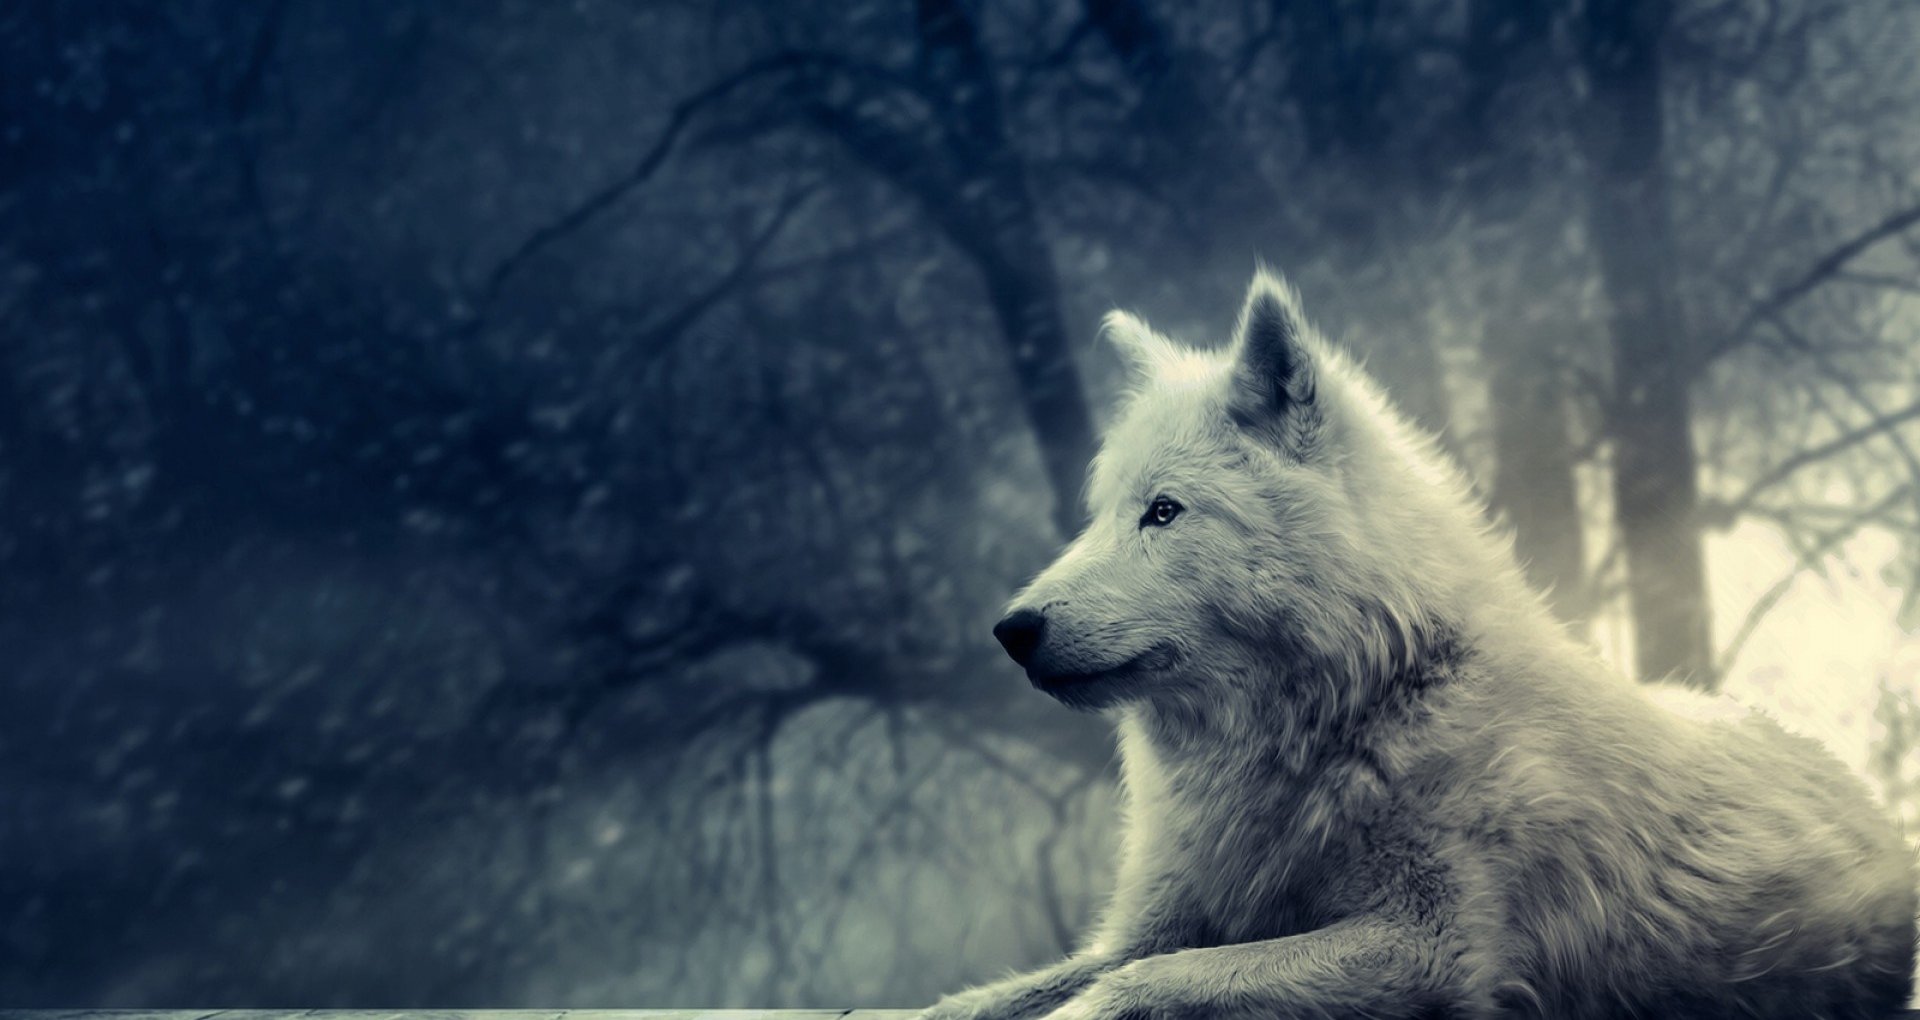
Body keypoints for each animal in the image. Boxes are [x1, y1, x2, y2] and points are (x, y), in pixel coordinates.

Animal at [926, 273, 1917, 1020]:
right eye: (1099, 515)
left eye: (1163, 512)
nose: (1012, 630)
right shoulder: (1152, 924)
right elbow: (990, 997)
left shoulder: (1431, 948)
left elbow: (1143, 986)